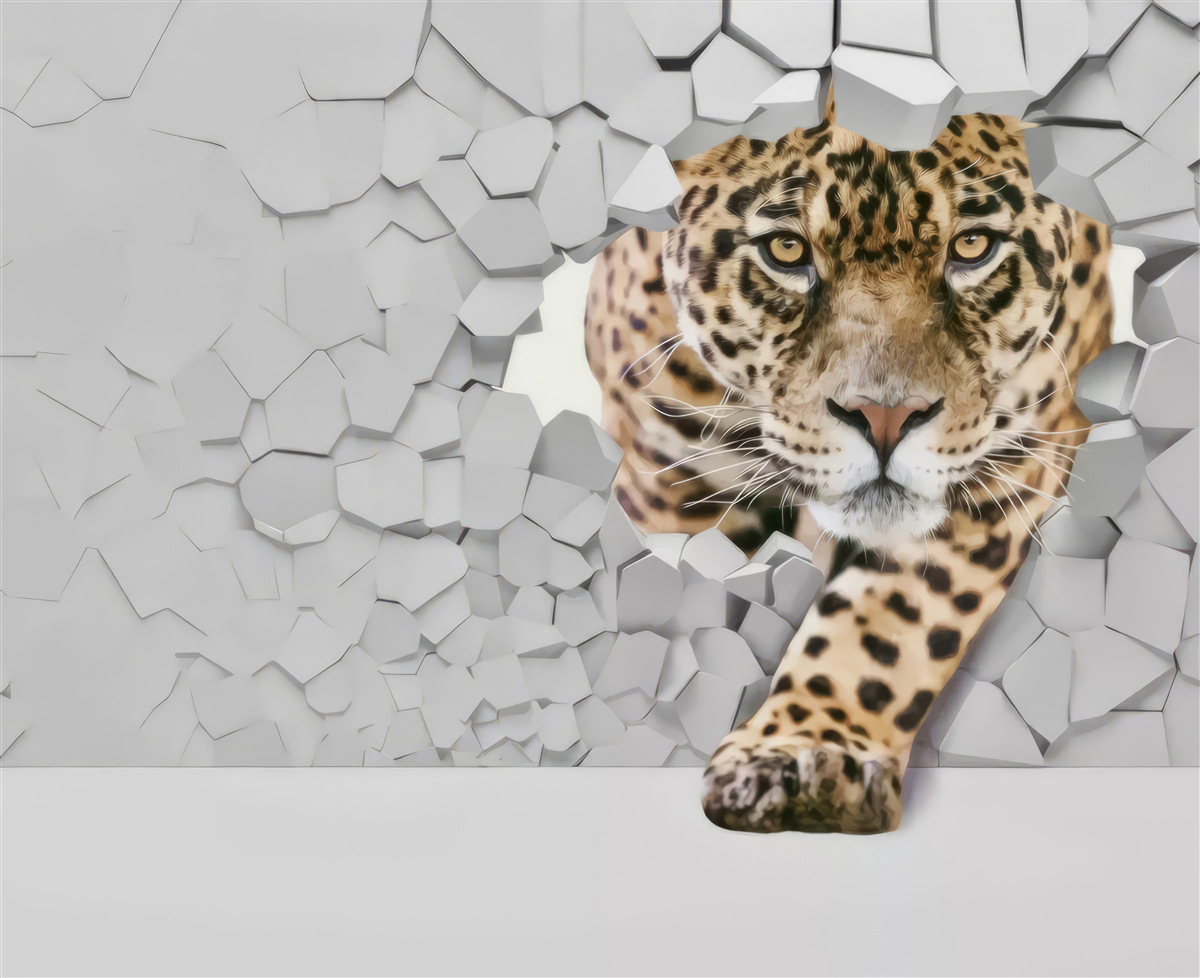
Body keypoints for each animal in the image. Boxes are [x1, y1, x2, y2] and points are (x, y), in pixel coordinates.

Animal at [584, 104, 1113, 834]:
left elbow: (886, 626)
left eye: (973, 248)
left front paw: (810, 752)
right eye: (786, 252)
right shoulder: (667, 478)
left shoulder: (1007, 464)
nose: (886, 417)